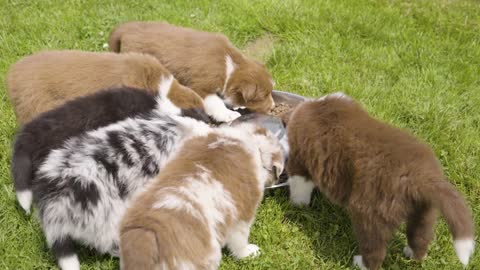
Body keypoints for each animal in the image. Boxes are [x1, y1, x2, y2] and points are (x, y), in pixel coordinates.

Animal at [107, 21, 276, 122]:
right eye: (263, 96)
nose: (273, 107)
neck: (229, 66)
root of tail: (126, 28)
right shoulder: (201, 86)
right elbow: (214, 101)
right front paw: (228, 114)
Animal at [284, 92, 476, 268]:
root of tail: (421, 177)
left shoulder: (299, 159)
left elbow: (299, 185)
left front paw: (297, 205)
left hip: (370, 211)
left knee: (375, 250)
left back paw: (360, 263)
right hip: (424, 211)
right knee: (420, 237)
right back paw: (411, 253)